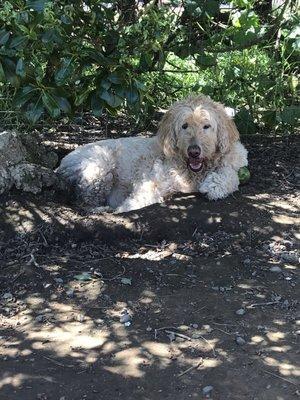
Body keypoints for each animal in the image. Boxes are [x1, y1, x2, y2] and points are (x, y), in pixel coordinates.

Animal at [56, 94, 248, 212]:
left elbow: (231, 175)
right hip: (99, 166)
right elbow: (143, 195)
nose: (194, 151)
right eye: (184, 126)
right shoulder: (153, 179)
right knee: (83, 201)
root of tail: (61, 164)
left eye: (206, 126)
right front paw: (126, 208)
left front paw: (214, 186)